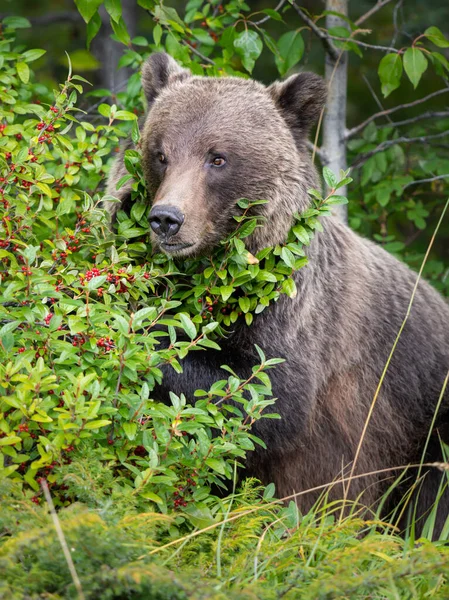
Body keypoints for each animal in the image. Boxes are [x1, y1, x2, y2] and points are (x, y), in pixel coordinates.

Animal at [106, 52, 449, 536]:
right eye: (160, 154)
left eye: (218, 157)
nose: (167, 219)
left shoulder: (296, 313)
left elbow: (265, 395)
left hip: (423, 415)